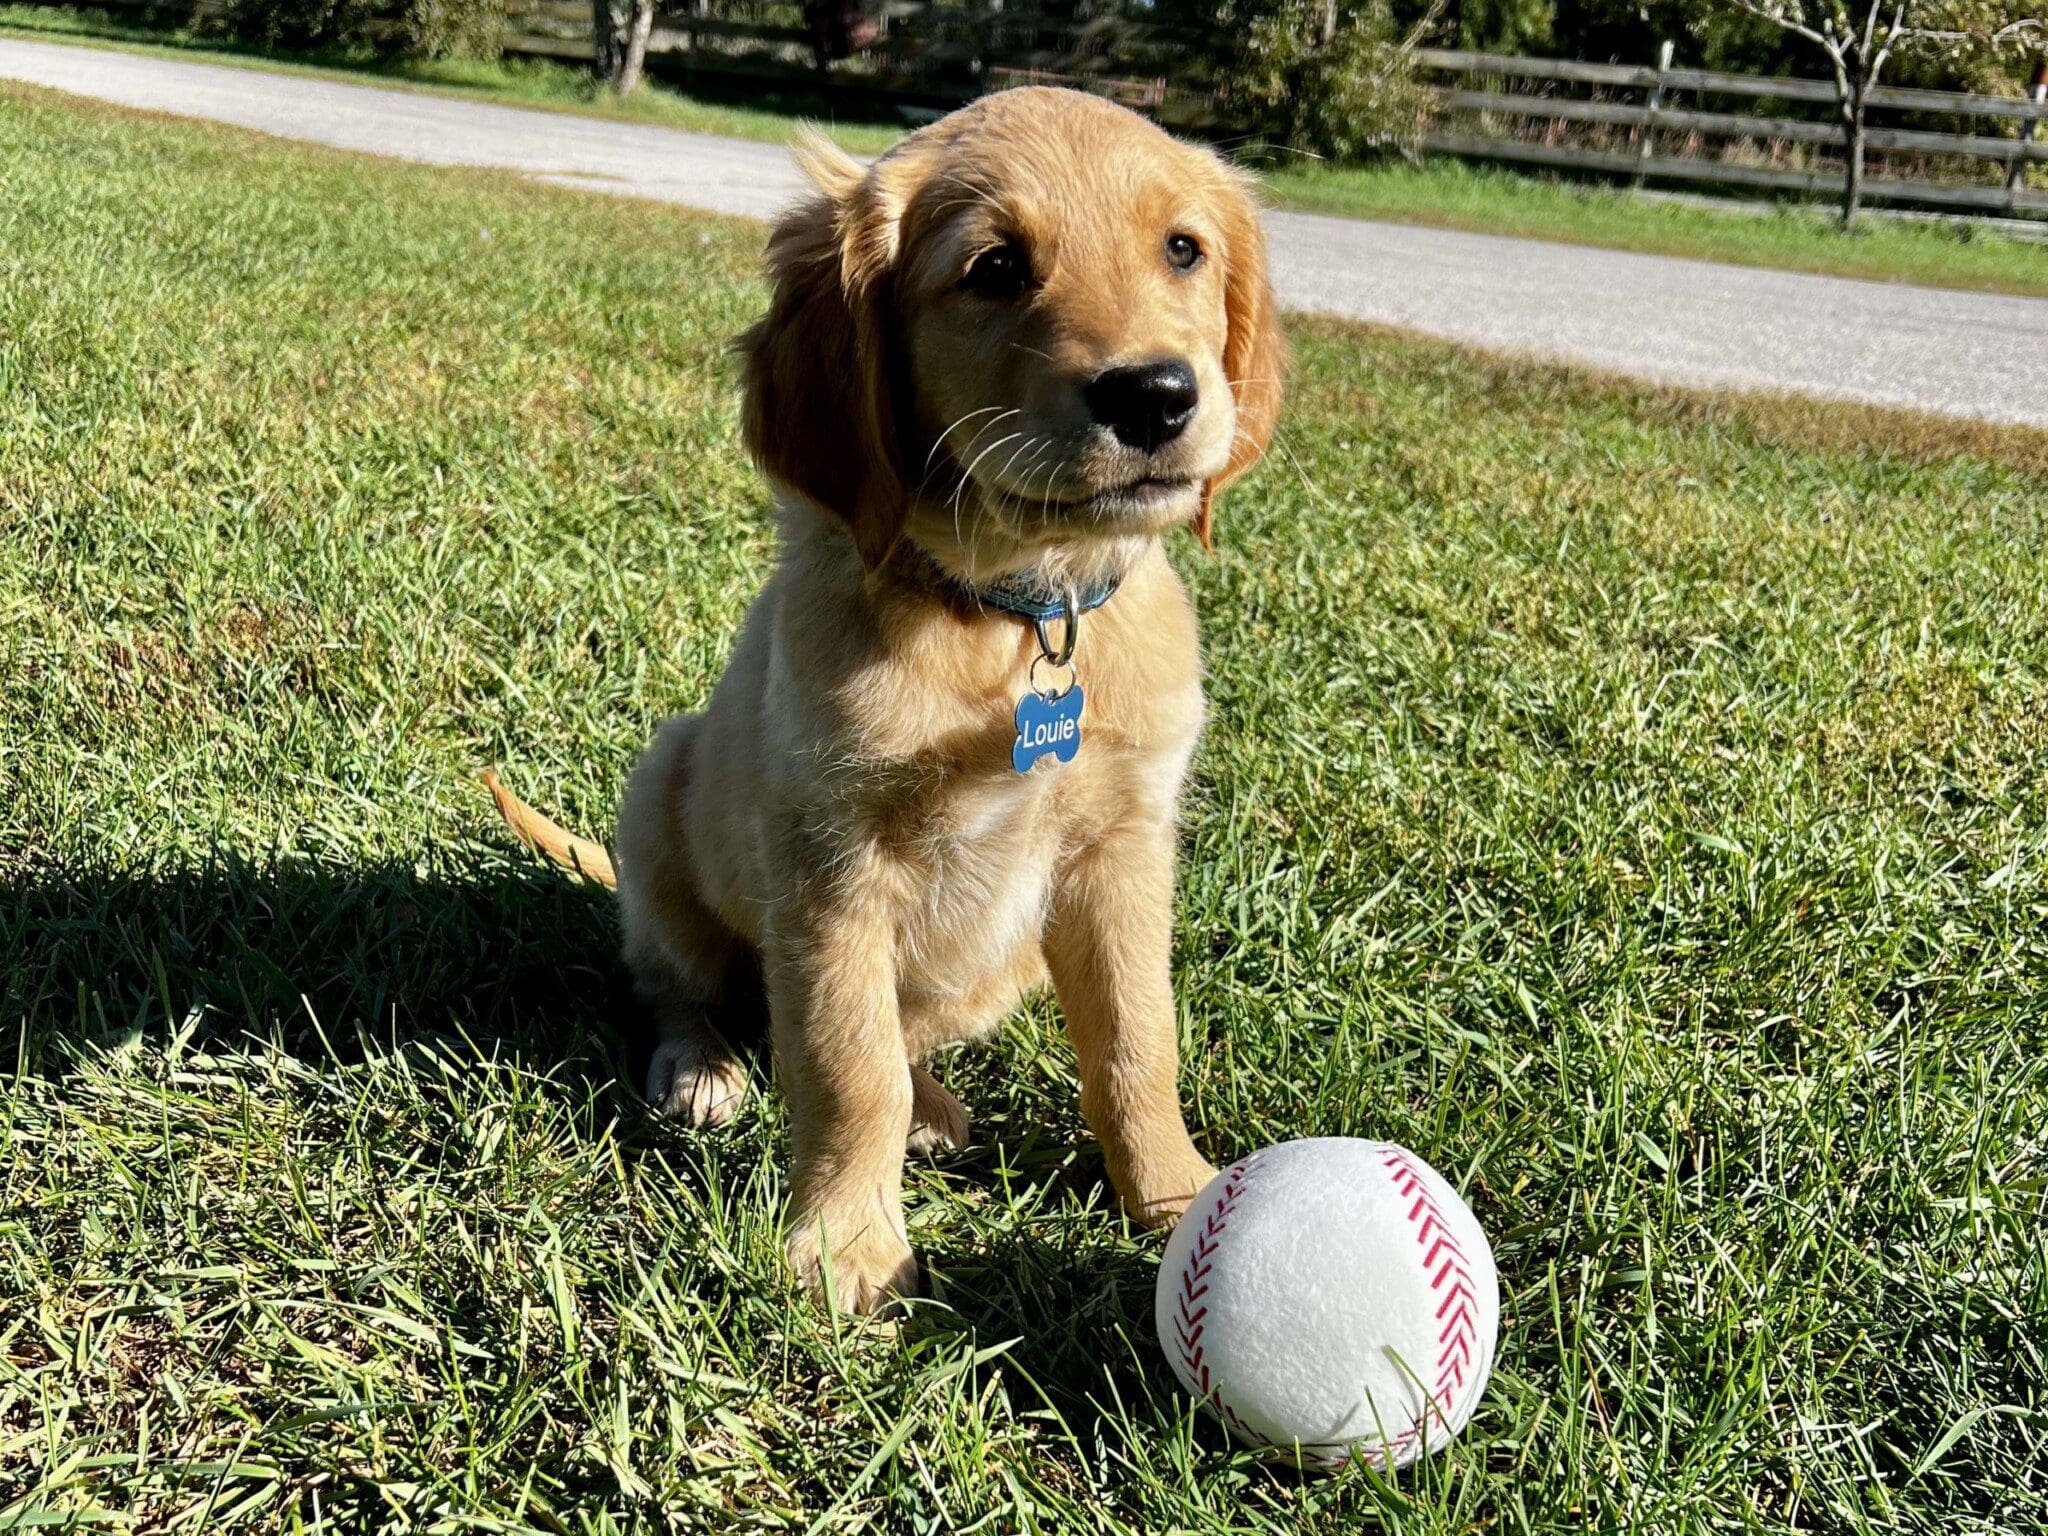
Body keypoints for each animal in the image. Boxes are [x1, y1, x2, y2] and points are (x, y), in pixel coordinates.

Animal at [598, 87, 1277, 1310]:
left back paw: (937, 1106)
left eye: (1183, 249)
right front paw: (845, 1244)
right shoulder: (829, 864)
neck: (1019, 611)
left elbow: (1135, 1040)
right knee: (679, 981)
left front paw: (1176, 1198)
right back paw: (704, 1064)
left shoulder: (1123, 848)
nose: (1156, 395)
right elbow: (843, 1058)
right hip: (659, 793)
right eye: (995, 268)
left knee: (913, 1036)